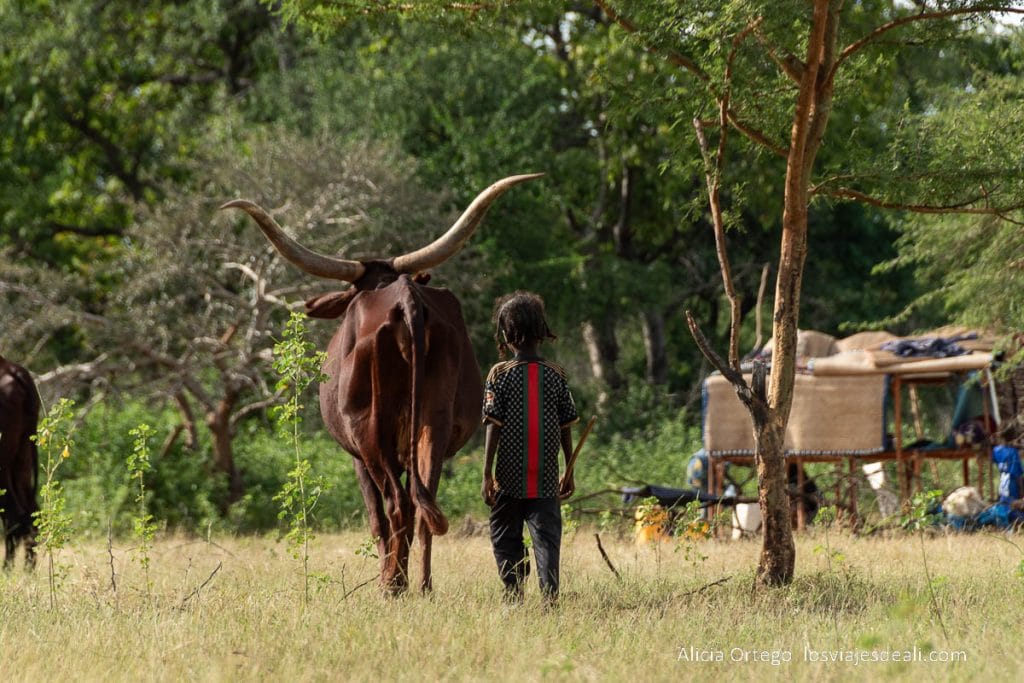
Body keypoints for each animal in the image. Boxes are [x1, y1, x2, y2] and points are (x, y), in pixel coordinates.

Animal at [222, 174, 541, 593]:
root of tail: (406, 300)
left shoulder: (356, 455)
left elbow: (377, 518)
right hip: (433, 423)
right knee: (424, 504)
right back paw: (422, 586)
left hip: (370, 431)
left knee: (397, 505)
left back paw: (392, 585)